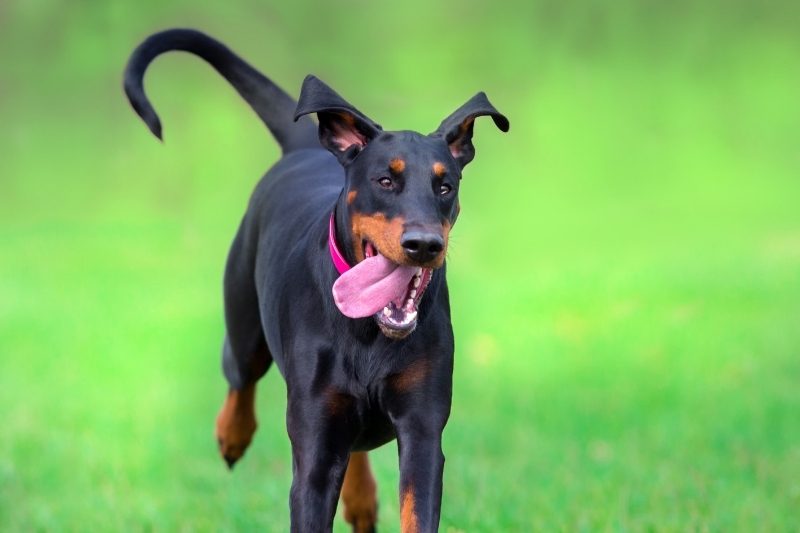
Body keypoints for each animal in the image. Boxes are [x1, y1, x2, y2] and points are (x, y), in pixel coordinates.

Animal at [126, 29, 510, 532]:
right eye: (385, 181)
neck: (369, 334)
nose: (425, 244)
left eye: (445, 187)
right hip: (245, 327)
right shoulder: (314, 444)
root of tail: (304, 145)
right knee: (239, 374)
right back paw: (232, 435)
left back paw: (361, 498)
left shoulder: (423, 429)